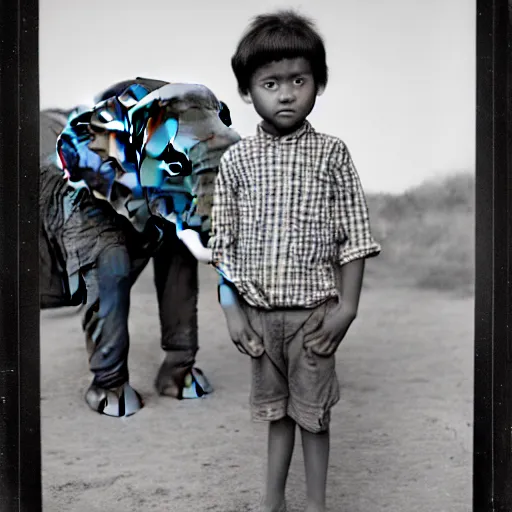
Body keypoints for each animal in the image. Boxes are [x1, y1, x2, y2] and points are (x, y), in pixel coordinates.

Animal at [39, 77, 241, 416]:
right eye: (175, 166)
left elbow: (179, 274)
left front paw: (190, 388)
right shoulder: (85, 207)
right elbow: (111, 278)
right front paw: (116, 405)